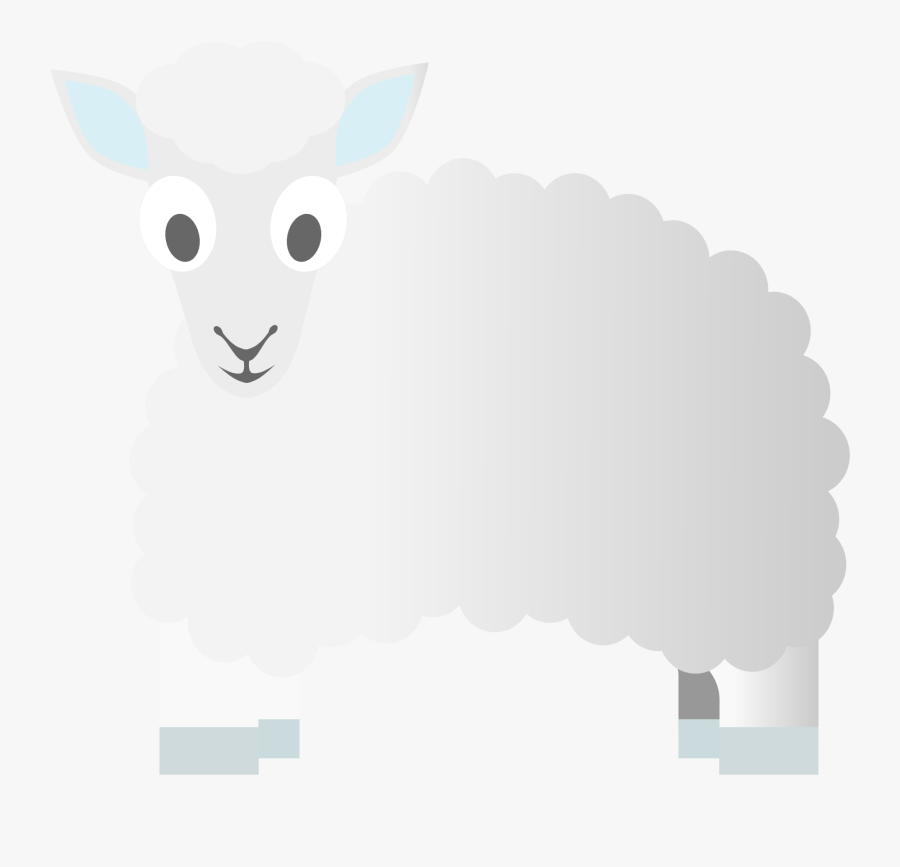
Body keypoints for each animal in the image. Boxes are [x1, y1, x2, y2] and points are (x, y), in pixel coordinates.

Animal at [53, 41, 848, 776]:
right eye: (178, 233)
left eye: (306, 232)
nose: (245, 345)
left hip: (753, 568)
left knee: (774, 673)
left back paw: (754, 749)